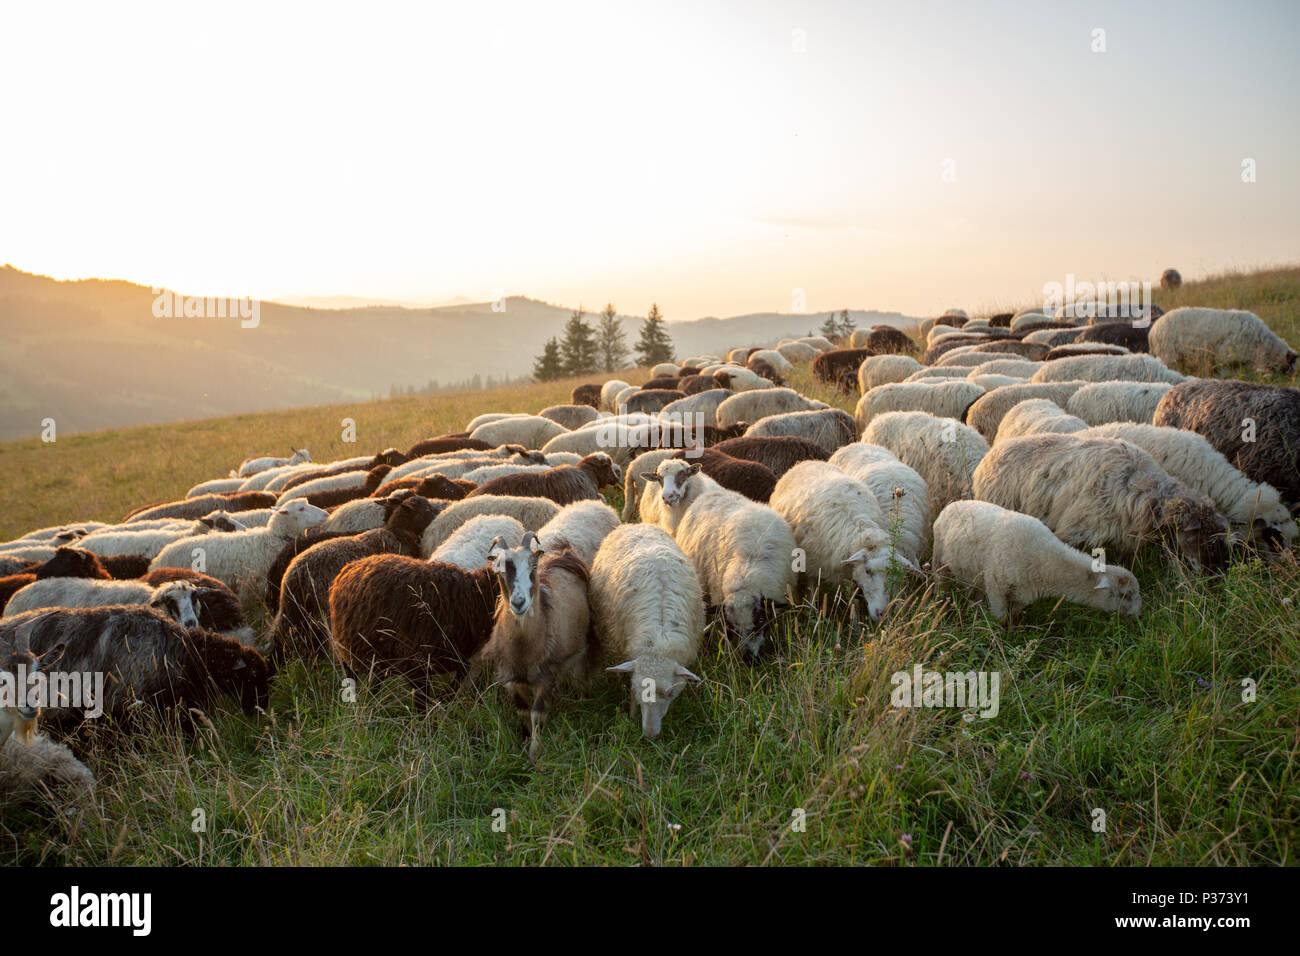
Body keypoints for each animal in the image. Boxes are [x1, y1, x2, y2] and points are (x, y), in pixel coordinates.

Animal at [328, 555, 498, 703]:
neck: (474, 597)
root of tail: (352, 565)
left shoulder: (457, 658)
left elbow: (455, 684)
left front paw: (441, 702)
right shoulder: (416, 664)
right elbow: (422, 702)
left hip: (379, 653)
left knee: (376, 679)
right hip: (346, 650)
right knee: (351, 677)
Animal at [476, 533, 592, 761]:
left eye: (533, 568)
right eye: (499, 571)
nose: (519, 602)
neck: (524, 647)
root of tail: (563, 552)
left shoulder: (547, 675)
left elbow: (537, 713)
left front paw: (535, 751)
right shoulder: (512, 678)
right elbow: (522, 712)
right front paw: (523, 742)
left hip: (580, 649)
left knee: (579, 674)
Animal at [588, 523, 703, 738]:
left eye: (670, 693)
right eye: (636, 689)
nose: (650, 734)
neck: (658, 646)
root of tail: (634, 524)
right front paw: (632, 715)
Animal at [769, 461, 920, 622]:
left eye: (893, 574)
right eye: (868, 571)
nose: (882, 613)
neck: (859, 530)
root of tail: (805, 462)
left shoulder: (849, 572)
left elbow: (854, 601)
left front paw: (855, 624)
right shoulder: (811, 564)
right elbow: (812, 590)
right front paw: (812, 614)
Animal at [931, 501, 1141, 623]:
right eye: (1125, 595)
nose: (1140, 614)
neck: (1044, 559)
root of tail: (953, 503)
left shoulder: (1023, 594)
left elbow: (1014, 614)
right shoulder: (996, 587)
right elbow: (1001, 619)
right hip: (939, 559)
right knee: (941, 582)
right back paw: (941, 603)